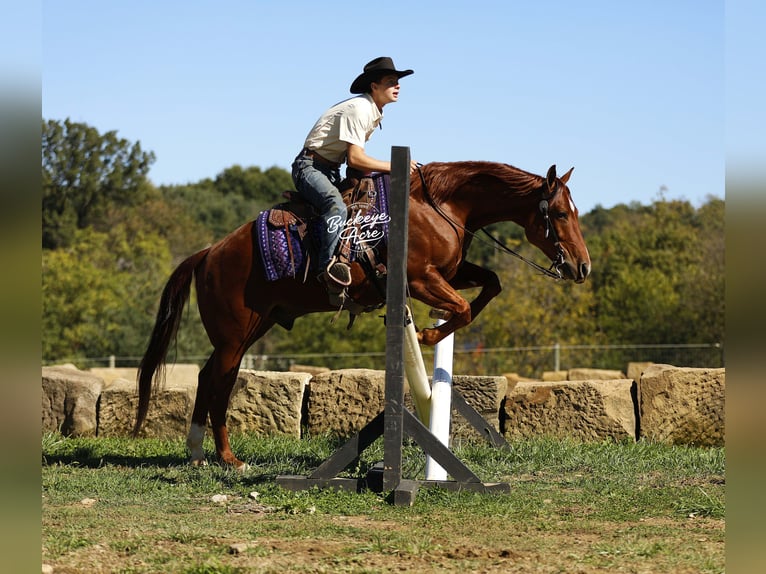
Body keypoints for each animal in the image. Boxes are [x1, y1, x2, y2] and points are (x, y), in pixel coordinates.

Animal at [133, 161, 591, 470]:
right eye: (560, 213)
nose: (582, 266)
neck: (441, 204)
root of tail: (210, 252)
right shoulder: (421, 277)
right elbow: (462, 308)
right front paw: (426, 334)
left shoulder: (451, 272)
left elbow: (491, 284)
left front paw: (433, 327)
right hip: (234, 336)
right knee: (218, 382)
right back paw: (228, 458)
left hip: (250, 329)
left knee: (206, 376)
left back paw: (197, 452)